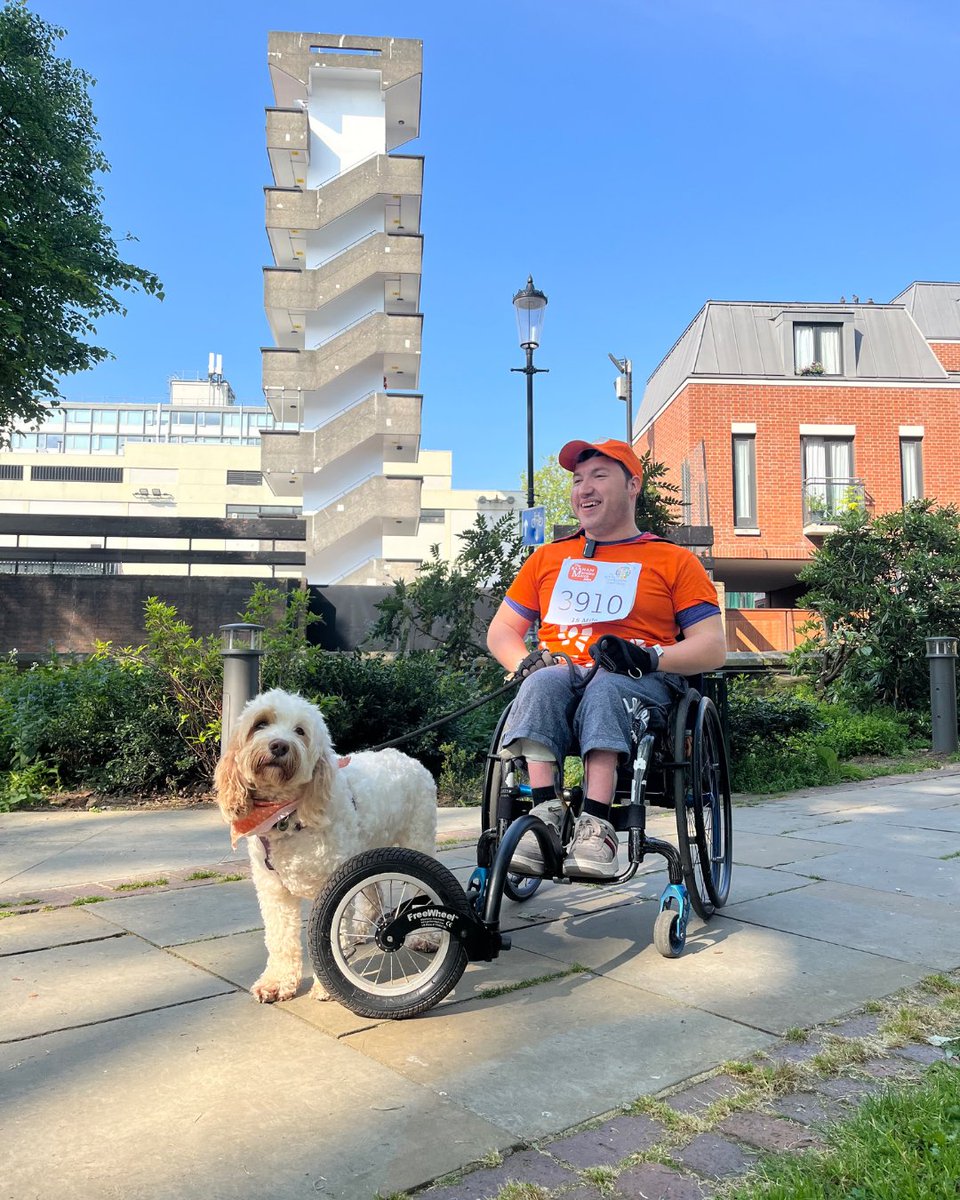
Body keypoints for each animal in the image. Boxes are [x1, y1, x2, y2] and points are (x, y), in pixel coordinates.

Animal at [216, 691, 436, 998]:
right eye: (261, 724)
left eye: (300, 731)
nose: (279, 745)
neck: (286, 814)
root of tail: (407, 758)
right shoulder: (274, 890)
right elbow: (280, 939)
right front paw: (277, 982)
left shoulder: (333, 879)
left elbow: (332, 930)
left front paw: (326, 986)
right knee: (373, 894)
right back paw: (361, 929)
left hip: (418, 840)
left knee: (421, 892)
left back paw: (423, 937)